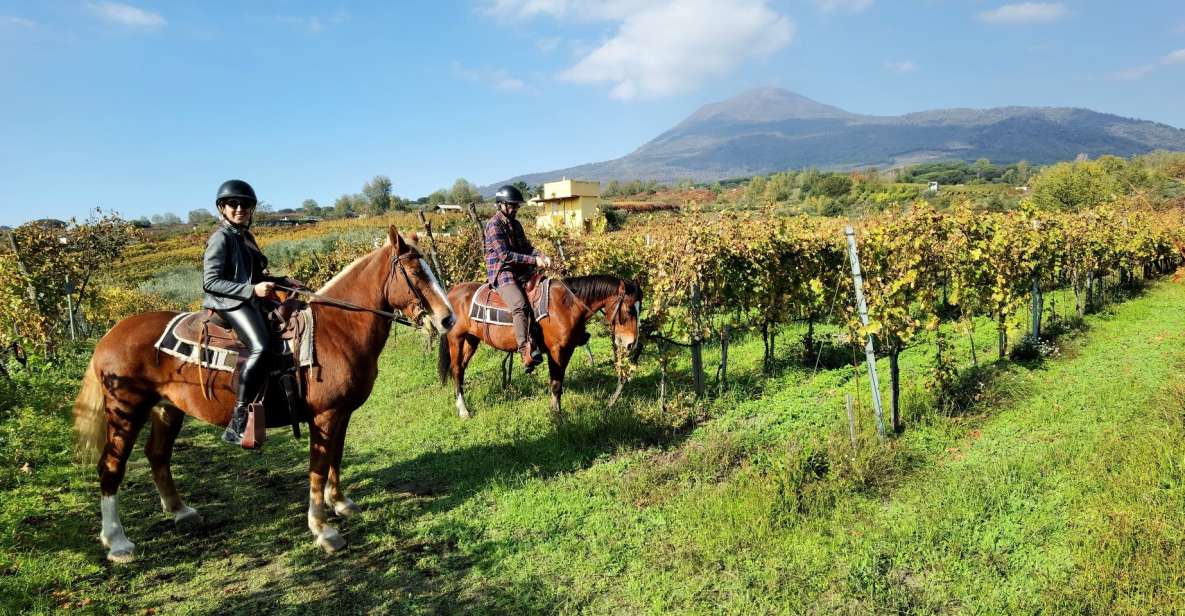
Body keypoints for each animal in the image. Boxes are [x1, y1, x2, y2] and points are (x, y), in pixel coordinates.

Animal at [74, 227, 452, 563]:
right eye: (415, 271)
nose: (447, 319)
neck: (335, 330)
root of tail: (110, 335)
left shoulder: (341, 414)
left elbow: (336, 458)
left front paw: (341, 504)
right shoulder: (324, 417)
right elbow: (317, 468)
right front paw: (323, 530)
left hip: (167, 410)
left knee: (157, 455)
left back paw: (181, 512)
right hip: (126, 412)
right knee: (111, 466)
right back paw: (117, 542)